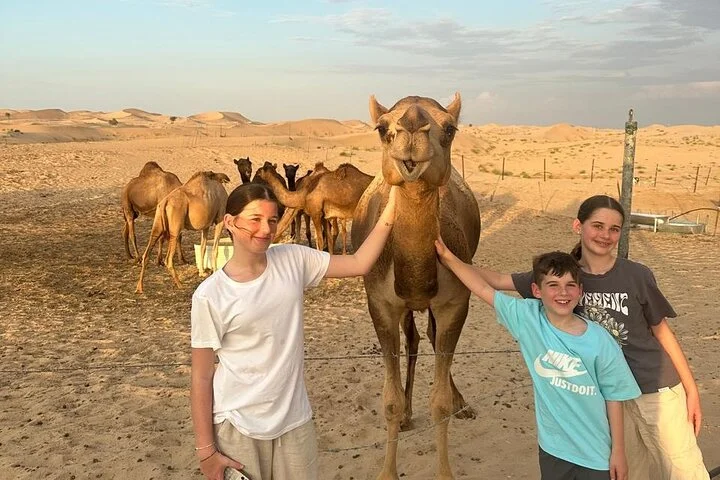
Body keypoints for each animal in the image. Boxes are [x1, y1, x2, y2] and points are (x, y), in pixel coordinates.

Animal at [350, 94, 481, 480]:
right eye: (381, 128)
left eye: (450, 129)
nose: (410, 128)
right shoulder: (380, 305)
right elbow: (390, 402)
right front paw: (387, 471)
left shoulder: (455, 303)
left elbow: (439, 403)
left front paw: (445, 472)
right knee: (413, 339)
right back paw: (409, 414)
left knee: (431, 338)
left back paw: (462, 403)